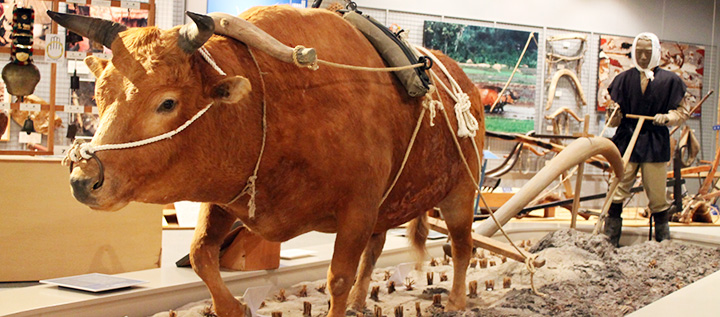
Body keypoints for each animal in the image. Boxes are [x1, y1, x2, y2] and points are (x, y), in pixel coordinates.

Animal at [52, 5, 484, 316]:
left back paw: (457, 301)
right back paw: (363, 302)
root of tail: (465, 82)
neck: (271, 97)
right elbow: (200, 254)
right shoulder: (226, 197)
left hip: (461, 193)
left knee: (462, 247)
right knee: (375, 252)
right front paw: (235, 307)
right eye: (100, 93)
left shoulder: (357, 209)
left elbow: (337, 279)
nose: (83, 179)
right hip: (387, 207)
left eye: (167, 102)